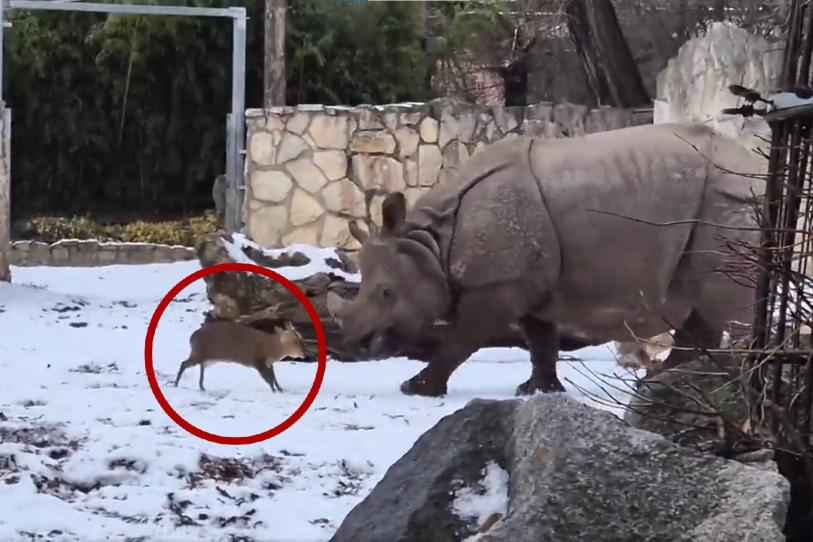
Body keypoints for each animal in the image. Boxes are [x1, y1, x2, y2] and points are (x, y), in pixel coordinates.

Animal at [173, 319, 306, 392]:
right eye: (296, 341)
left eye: (300, 338)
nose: (304, 354)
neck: (273, 348)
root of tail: (192, 337)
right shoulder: (257, 360)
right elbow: (268, 378)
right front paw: (274, 391)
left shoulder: (269, 363)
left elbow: (273, 377)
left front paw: (280, 389)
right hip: (198, 353)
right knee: (183, 363)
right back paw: (175, 384)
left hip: (205, 357)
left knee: (200, 367)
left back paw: (201, 387)